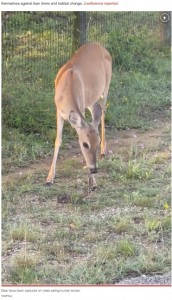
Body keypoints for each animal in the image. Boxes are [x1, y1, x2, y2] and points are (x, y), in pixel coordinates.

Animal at [46, 42, 112, 185]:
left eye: (97, 142)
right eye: (85, 144)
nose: (94, 169)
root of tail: (101, 46)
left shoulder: (80, 107)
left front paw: (93, 183)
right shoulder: (59, 111)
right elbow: (58, 140)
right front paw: (49, 177)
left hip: (106, 86)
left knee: (103, 112)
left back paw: (103, 151)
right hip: (91, 100)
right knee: (97, 112)